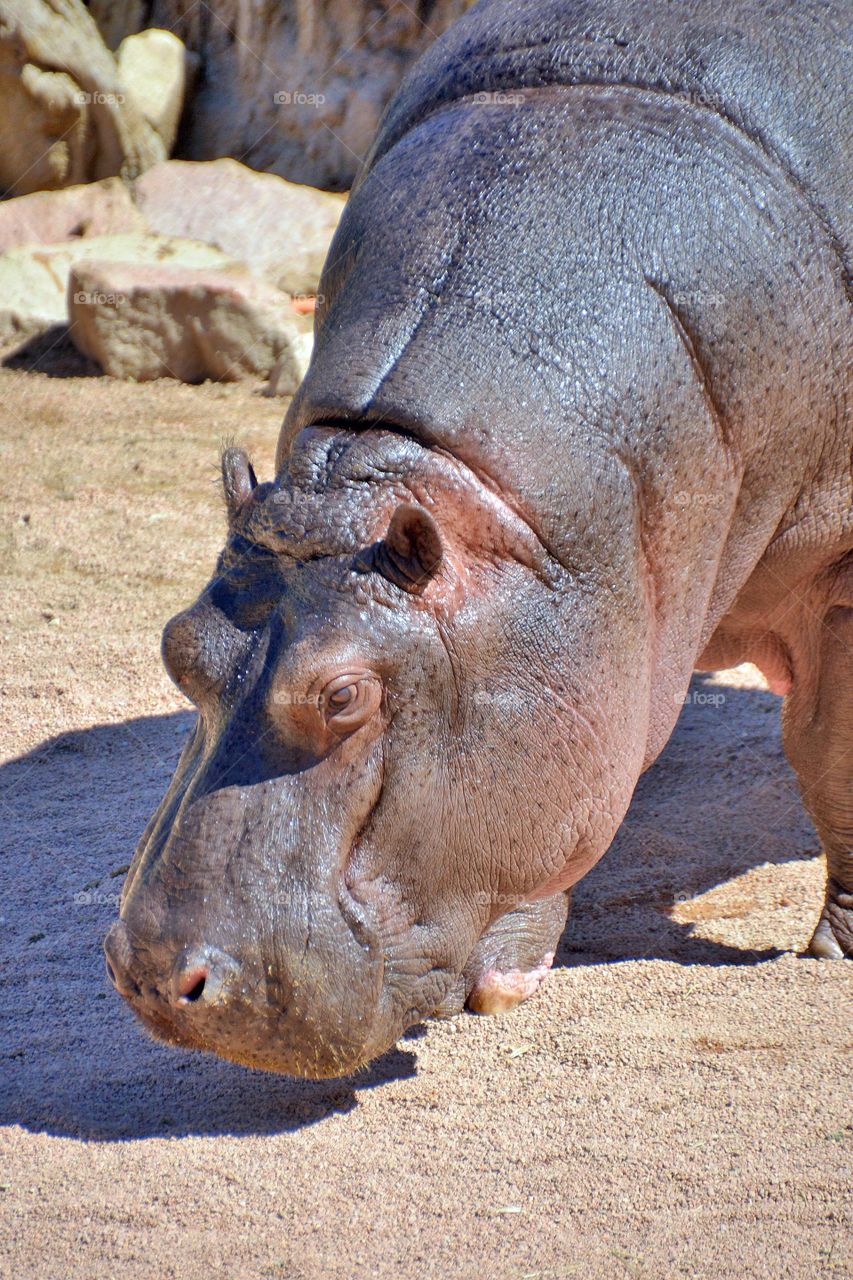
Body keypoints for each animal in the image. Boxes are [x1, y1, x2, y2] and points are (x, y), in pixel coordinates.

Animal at [105, 0, 852, 1077]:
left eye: (343, 694)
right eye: (175, 647)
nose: (157, 978)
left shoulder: (836, 571)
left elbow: (828, 747)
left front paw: (832, 949)